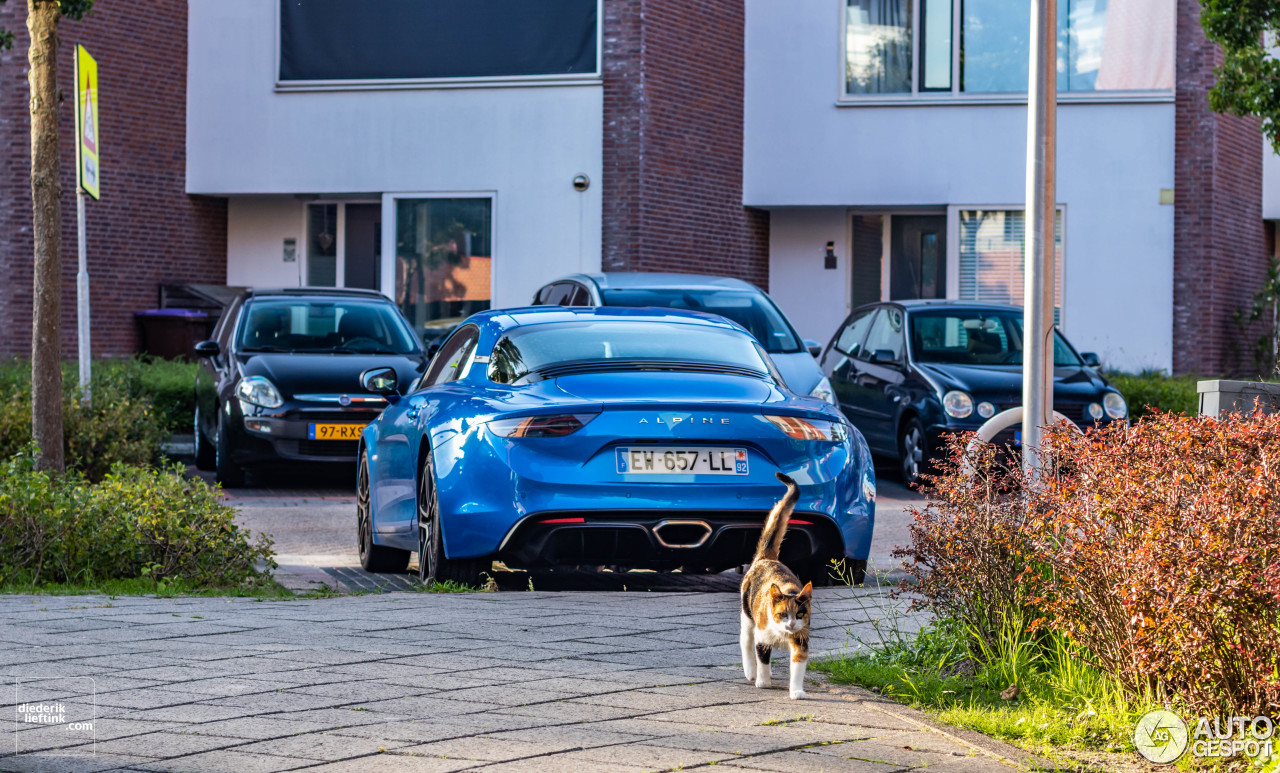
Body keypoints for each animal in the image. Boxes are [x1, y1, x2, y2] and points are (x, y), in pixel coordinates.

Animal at [742, 470, 808, 701]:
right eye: (782, 614)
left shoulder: (801, 640)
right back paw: (751, 671)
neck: (783, 635)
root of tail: (767, 558)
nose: (791, 624)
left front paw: (796, 691)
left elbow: (797, 667)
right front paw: (763, 682)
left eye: (800, 614)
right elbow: (762, 657)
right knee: (746, 641)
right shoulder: (762, 638)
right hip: (747, 616)